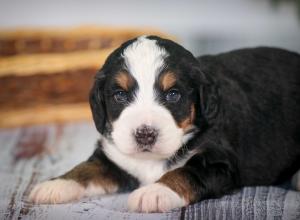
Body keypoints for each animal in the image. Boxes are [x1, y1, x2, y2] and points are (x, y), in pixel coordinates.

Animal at [28, 35, 300, 211]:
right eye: (120, 95)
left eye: (173, 95)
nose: (145, 134)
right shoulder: (114, 157)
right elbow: (87, 168)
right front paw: (57, 184)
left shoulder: (219, 162)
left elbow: (186, 171)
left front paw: (156, 191)